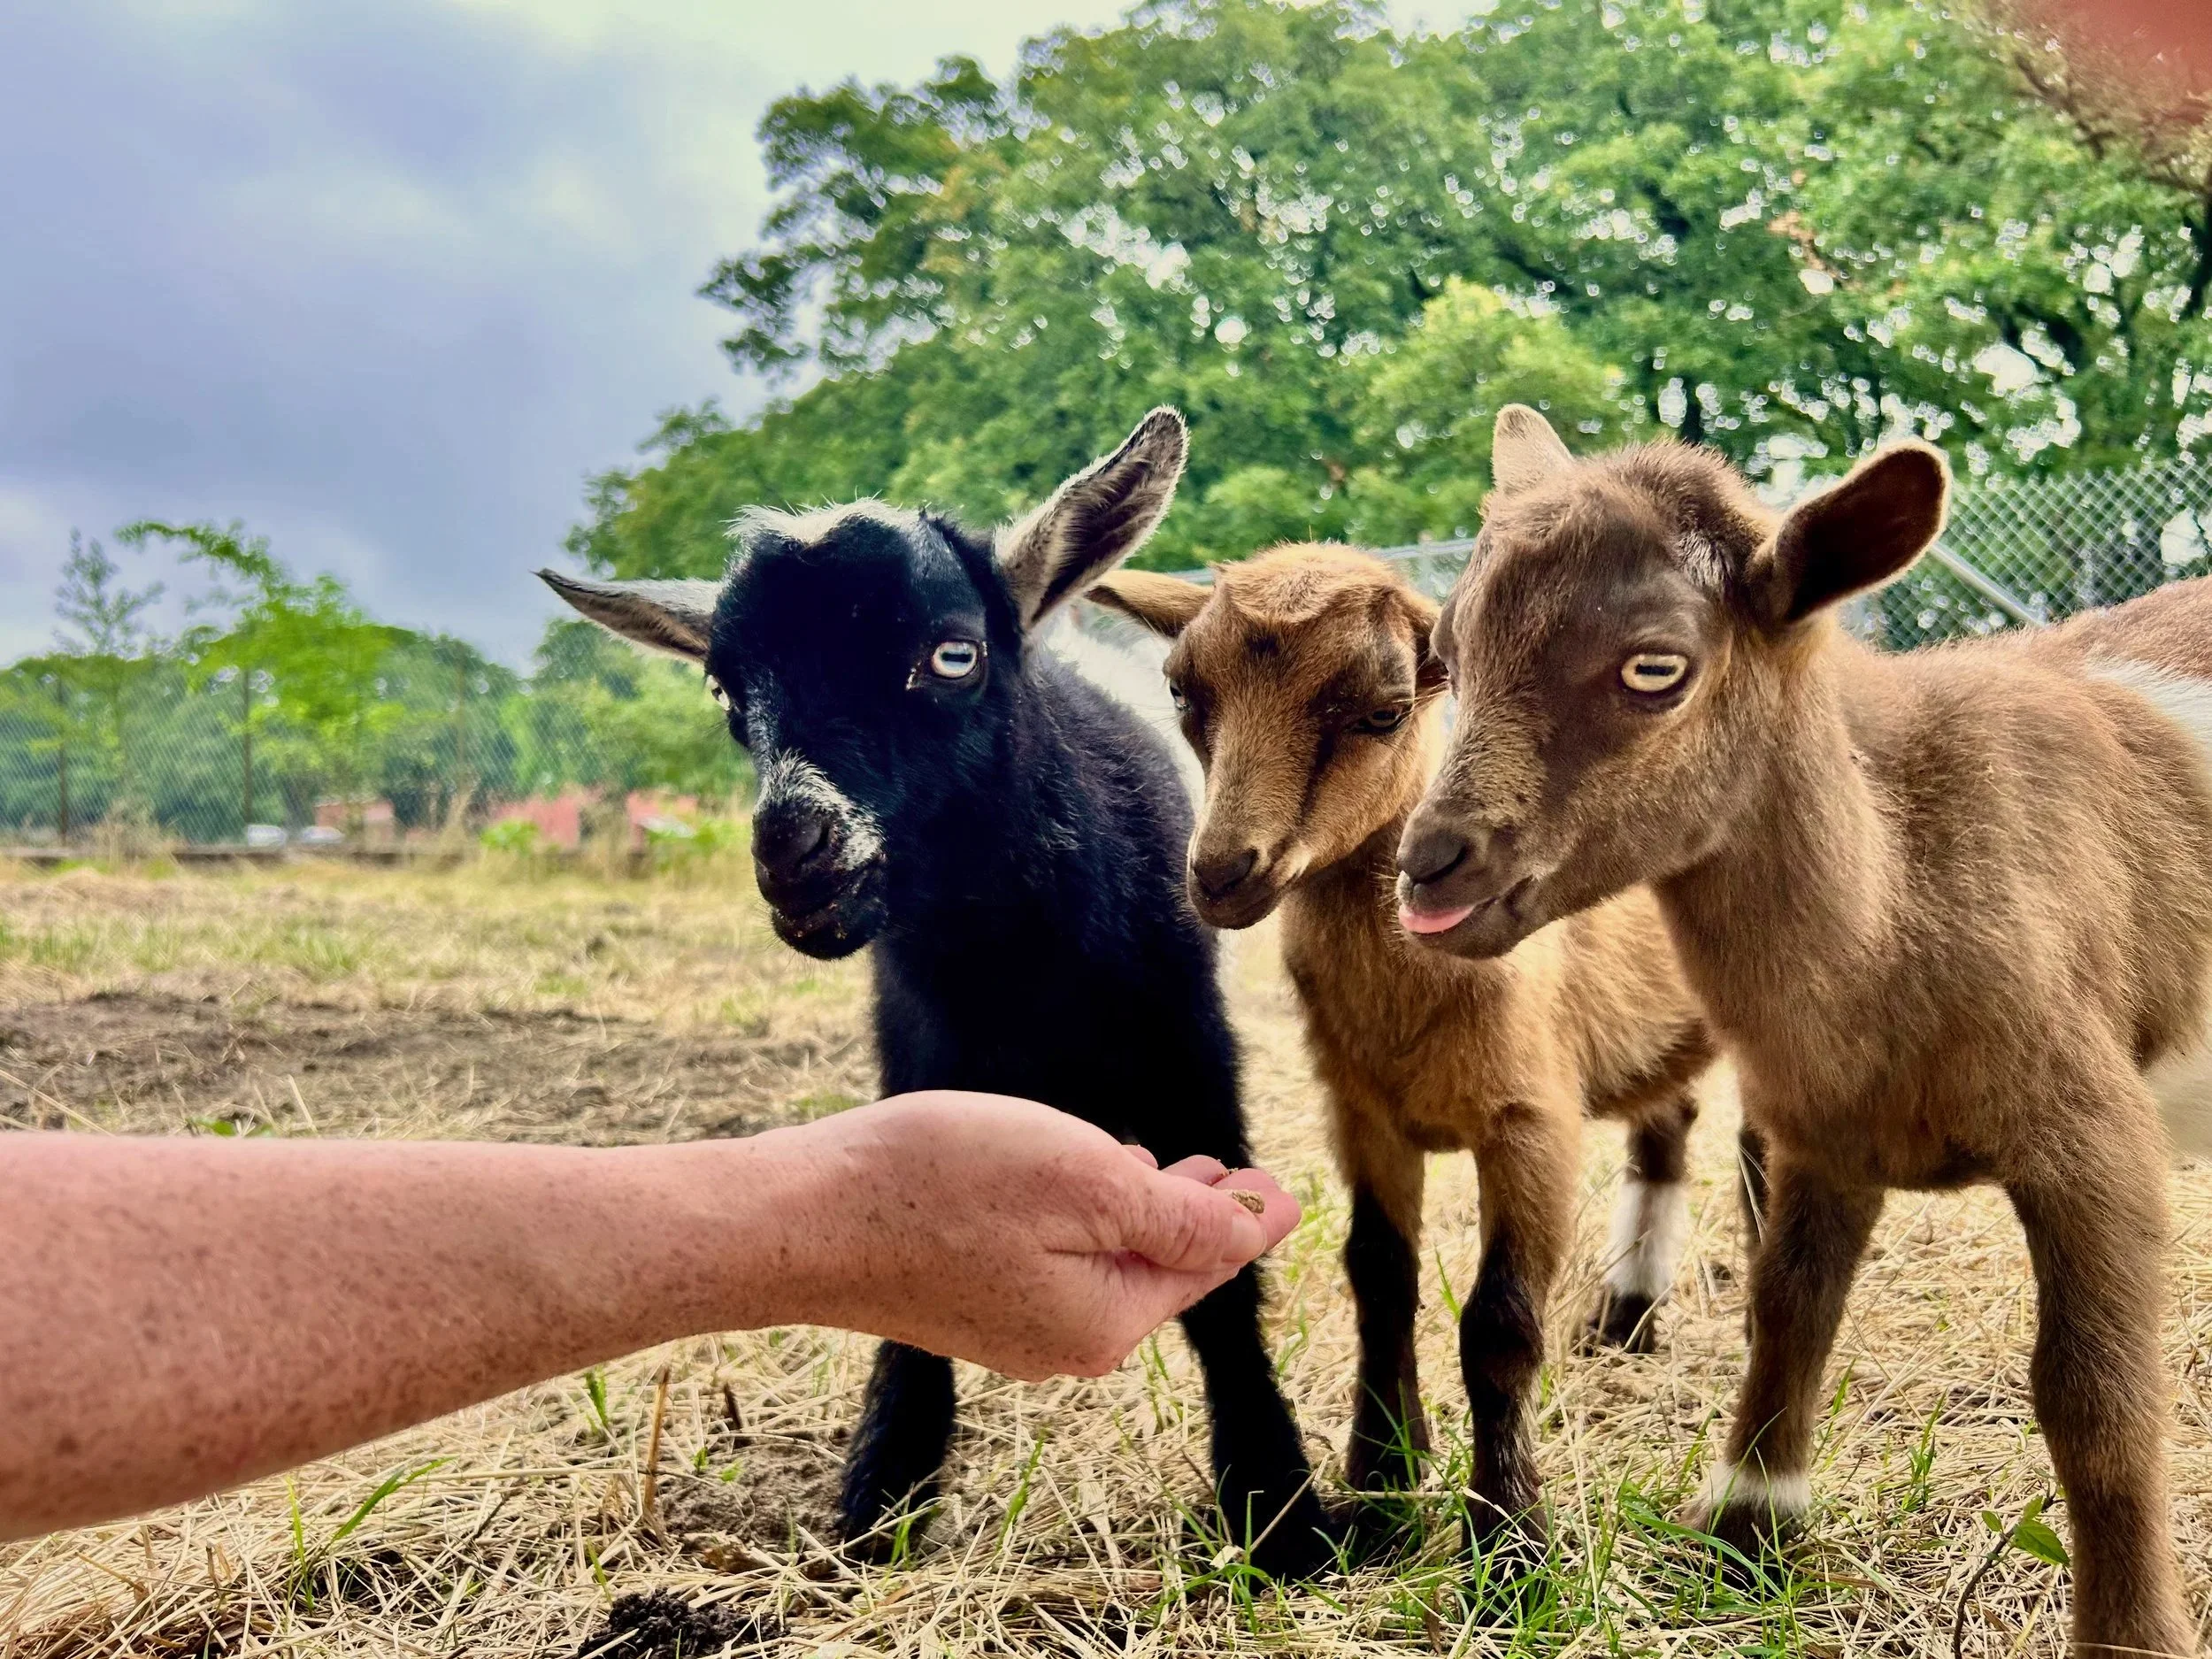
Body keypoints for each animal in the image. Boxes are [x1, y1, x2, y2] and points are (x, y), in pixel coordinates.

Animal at [538, 410, 1337, 1576]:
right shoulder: (920, 1056)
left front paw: (1278, 1509)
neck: (1016, 970)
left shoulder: (1192, 1052)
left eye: (953, 653)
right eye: (726, 690)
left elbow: (1227, 1284)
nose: (795, 856)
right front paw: (880, 1496)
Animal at [1089, 544, 1714, 1556]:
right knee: (1668, 1131)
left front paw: (1509, 1540)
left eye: (1383, 711)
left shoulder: (1531, 1120)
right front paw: (1383, 1471)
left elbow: (1500, 1324)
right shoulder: (1363, 1112)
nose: (1221, 873)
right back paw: (1627, 1319)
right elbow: (1377, 1276)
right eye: (1184, 692)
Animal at [1397, 404, 2211, 1654]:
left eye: (1655, 668)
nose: (1430, 866)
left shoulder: (2093, 1133)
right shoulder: (1819, 1132)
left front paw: (2130, 1635)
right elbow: (1786, 1315)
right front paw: (1747, 1535)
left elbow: (2092, 1394)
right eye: (1447, 646)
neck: (1897, 885)